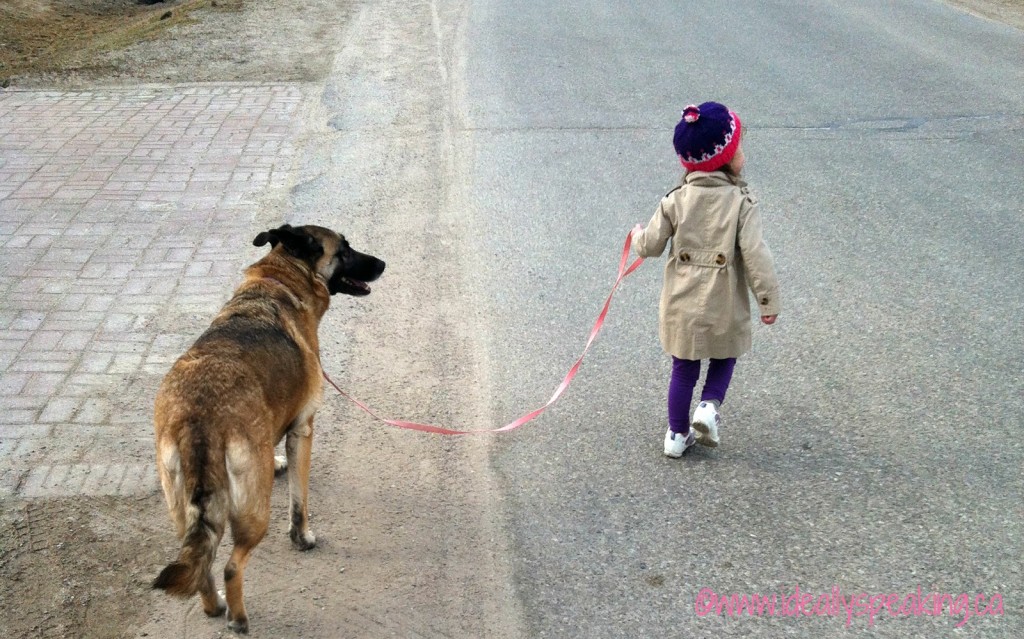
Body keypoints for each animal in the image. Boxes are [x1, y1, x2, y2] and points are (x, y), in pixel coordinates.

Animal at [153, 224, 385, 634]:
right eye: (344, 249)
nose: (383, 264)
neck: (280, 277)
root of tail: (198, 418)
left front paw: (275, 462)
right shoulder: (303, 431)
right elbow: (299, 502)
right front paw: (302, 537)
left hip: (183, 510)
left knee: (202, 564)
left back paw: (215, 606)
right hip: (253, 511)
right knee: (231, 566)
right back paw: (239, 619)